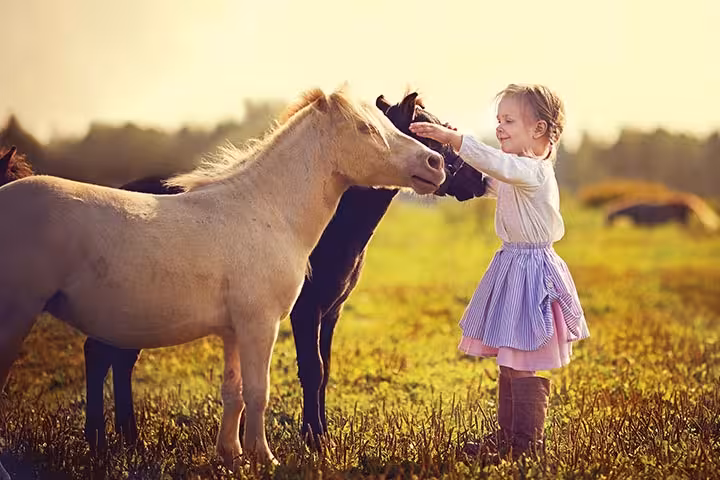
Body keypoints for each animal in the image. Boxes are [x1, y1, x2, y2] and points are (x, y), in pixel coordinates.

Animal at [0, 88, 446, 470]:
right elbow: (259, 391)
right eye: (367, 128)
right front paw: (265, 457)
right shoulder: (261, 325)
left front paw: (231, 456)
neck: (266, 211)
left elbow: (233, 393)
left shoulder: (235, 330)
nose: (436, 164)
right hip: (19, 314)